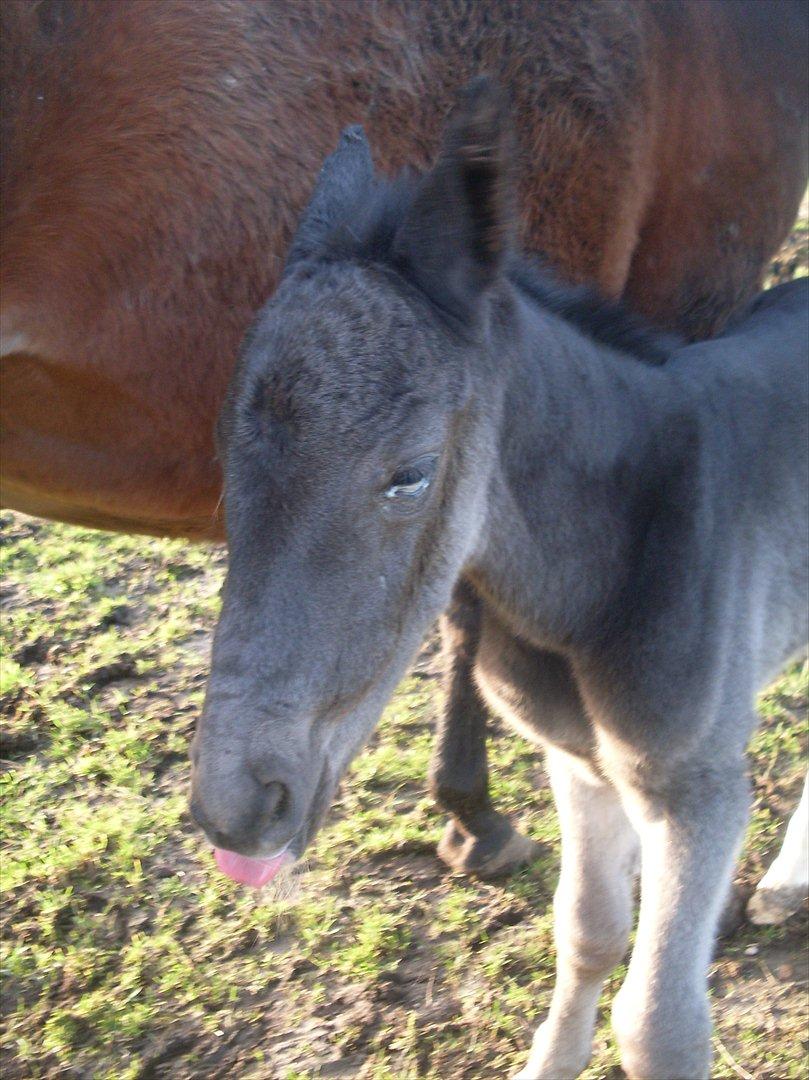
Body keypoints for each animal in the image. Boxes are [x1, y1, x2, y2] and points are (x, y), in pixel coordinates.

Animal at [191, 86, 807, 1080]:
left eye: (409, 474)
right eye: (222, 453)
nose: (237, 806)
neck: (592, 581)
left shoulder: (696, 789)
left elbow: (659, 1023)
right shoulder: (578, 764)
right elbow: (587, 932)